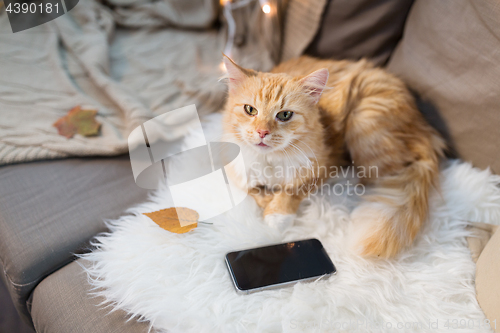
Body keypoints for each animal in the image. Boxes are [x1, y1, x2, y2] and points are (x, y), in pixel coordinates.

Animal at [221, 55, 444, 256]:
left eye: (284, 115)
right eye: (250, 110)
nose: (262, 132)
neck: (270, 161)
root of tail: (426, 130)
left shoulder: (324, 166)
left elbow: (291, 191)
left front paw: (277, 215)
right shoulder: (235, 172)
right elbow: (253, 190)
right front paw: (268, 201)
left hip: (364, 124)